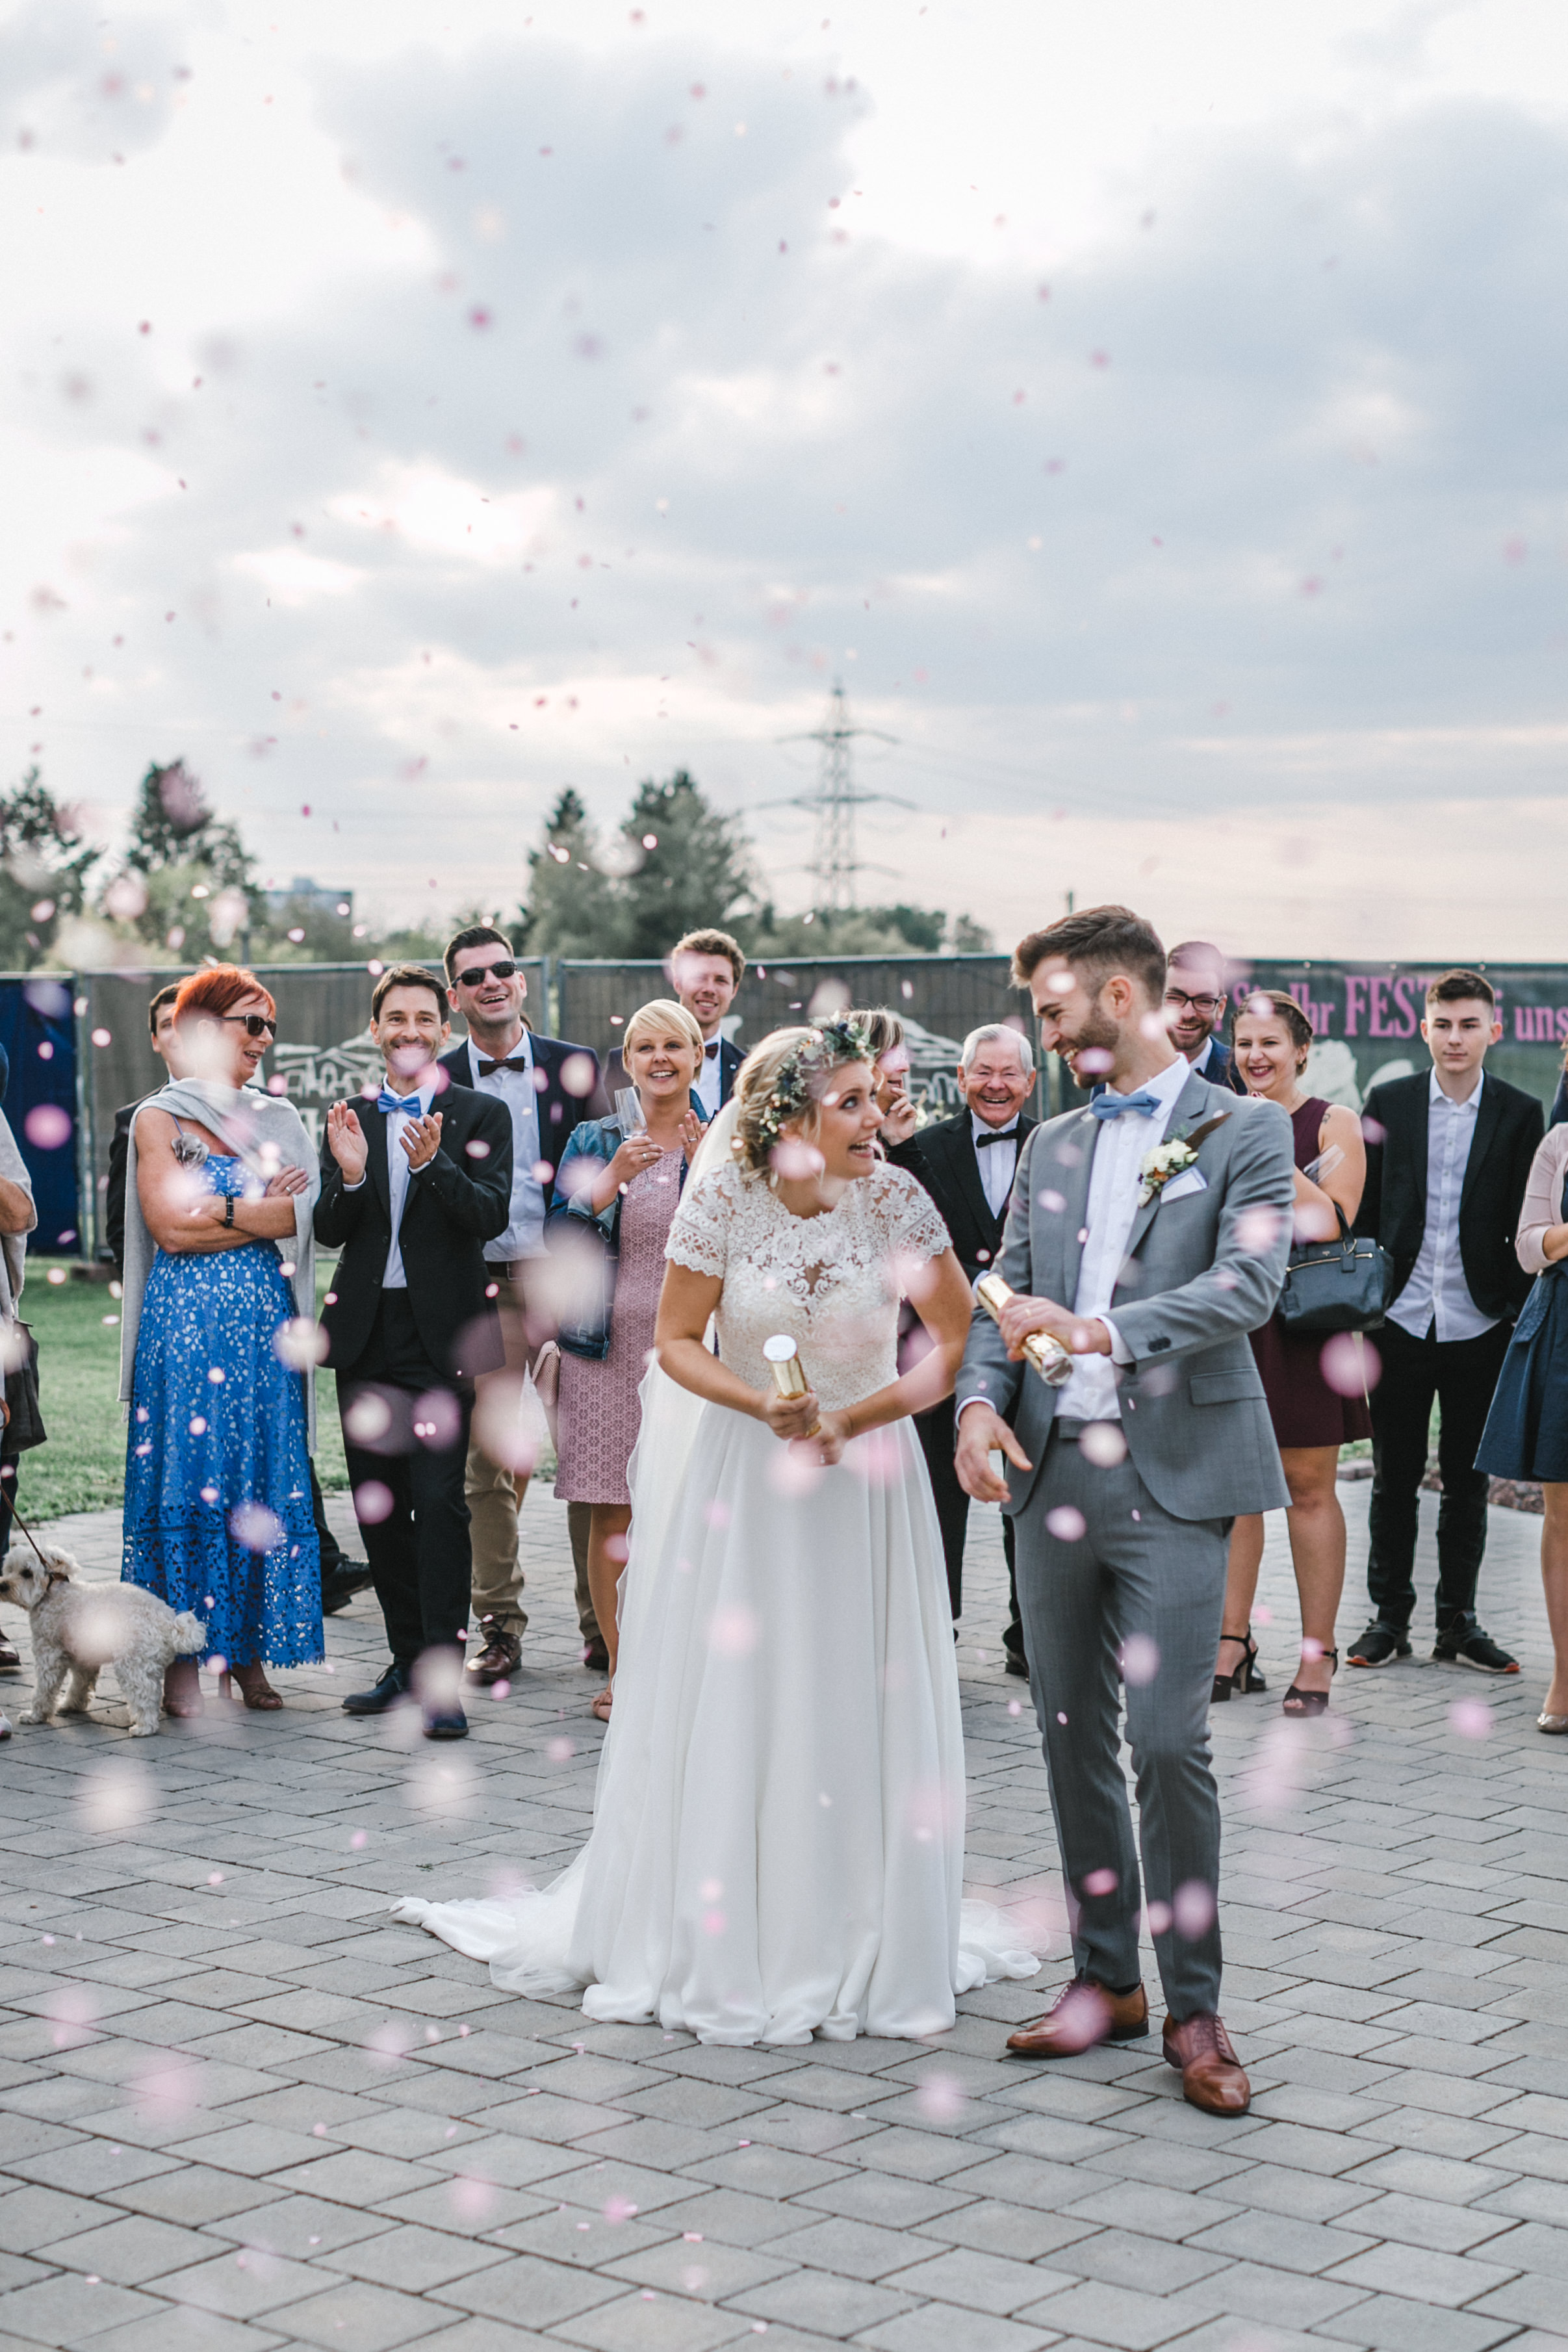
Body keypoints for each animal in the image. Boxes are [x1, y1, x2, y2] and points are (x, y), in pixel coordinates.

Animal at [0, 1552, 207, 1740]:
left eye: (27, 1573)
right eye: (9, 1569)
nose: (3, 1585)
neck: (52, 1594)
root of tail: (168, 1623)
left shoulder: (49, 1655)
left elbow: (44, 1690)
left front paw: (35, 1716)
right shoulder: (84, 1658)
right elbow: (80, 1684)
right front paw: (72, 1705)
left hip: (132, 1664)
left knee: (145, 1693)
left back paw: (144, 1727)